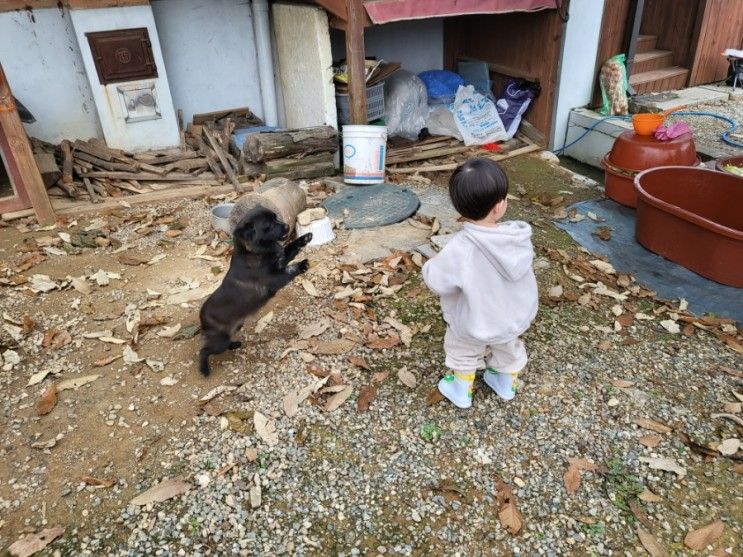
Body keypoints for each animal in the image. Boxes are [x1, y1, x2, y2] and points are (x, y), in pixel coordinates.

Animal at [198, 206, 310, 376]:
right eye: (268, 225)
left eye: (276, 217)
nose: (286, 226)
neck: (253, 252)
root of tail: (201, 317)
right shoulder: (274, 279)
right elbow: (290, 269)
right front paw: (302, 265)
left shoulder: (281, 261)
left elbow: (290, 248)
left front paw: (304, 238)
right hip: (219, 341)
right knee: (204, 351)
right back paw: (204, 369)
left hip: (234, 328)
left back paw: (234, 345)